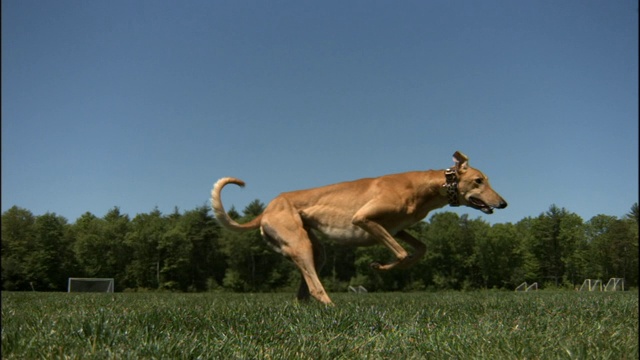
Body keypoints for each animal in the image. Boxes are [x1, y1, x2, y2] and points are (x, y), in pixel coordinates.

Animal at [212, 150, 508, 306]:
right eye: (479, 180)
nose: (504, 203)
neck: (425, 187)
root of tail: (265, 211)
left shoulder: (397, 229)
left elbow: (420, 249)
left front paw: (385, 265)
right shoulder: (364, 219)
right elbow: (402, 254)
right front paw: (379, 267)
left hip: (314, 251)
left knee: (304, 290)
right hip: (300, 244)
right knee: (316, 288)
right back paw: (332, 308)